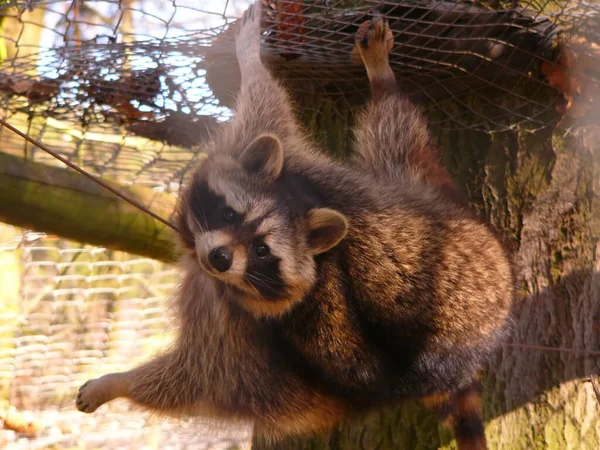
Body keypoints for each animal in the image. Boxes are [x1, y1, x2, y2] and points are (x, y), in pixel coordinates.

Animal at [75, 2, 512, 446]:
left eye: (262, 250)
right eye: (229, 214)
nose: (219, 258)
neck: (299, 198)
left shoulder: (245, 330)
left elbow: (200, 380)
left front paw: (119, 383)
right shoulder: (284, 158)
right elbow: (267, 107)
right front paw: (249, 55)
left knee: (395, 135)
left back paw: (384, 83)